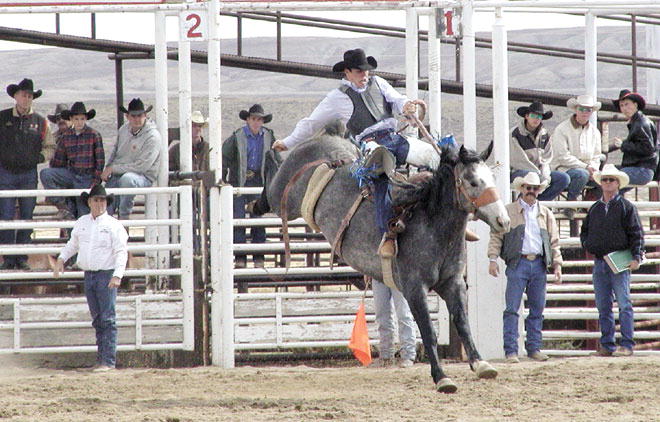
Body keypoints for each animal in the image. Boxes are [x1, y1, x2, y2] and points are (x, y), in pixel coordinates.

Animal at [258, 130, 511, 393]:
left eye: (492, 178)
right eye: (473, 182)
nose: (503, 221)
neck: (430, 223)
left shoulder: (453, 283)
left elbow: (462, 322)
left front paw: (481, 364)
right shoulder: (414, 288)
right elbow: (428, 332)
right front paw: (442, 377)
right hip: (283, 196)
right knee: (271, 188)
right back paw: (269, 159)